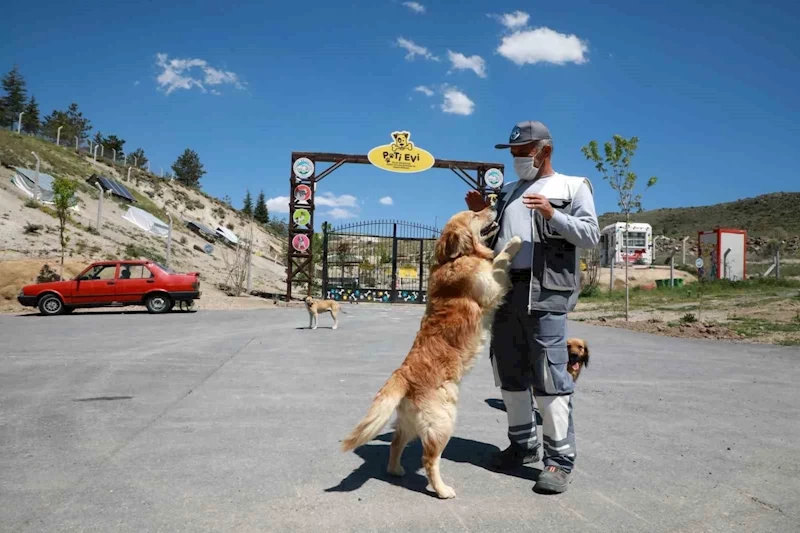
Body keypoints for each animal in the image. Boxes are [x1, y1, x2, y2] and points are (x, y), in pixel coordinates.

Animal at [340, 205, 520, 498]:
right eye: (474, 214)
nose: (494, 203)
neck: (451, 259)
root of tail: (402, 375)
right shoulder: (491, 286)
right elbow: (501, 259)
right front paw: (514, 242)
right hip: (443, 420)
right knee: (429, 459)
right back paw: (442, 490)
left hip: (410, 421)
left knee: (396, 442)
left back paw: (396, 470)